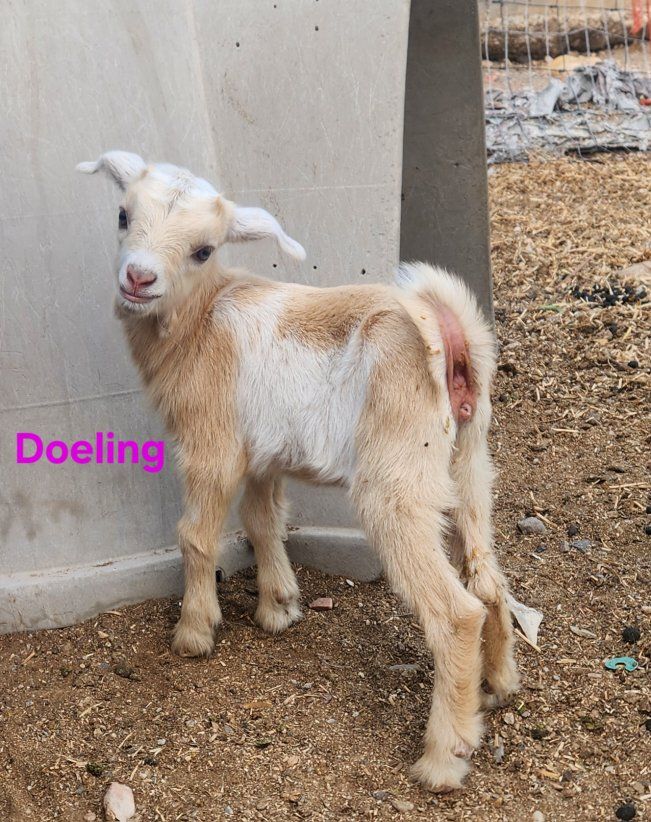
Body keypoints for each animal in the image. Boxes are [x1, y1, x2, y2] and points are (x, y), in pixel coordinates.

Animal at [77, 151, 519, 792]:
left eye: (204, 249)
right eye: (122, 214)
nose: (138, 278)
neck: (198, 319)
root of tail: (449, 333)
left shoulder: (212, 444)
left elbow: (196, 535)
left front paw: (194, 633)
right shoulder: (263, 454)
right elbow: (264, 519)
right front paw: (279, 607)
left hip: (397, 479)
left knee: (456, 612)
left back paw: (443, 757)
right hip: (469, 460)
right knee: (488, 578)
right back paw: (498, 686)